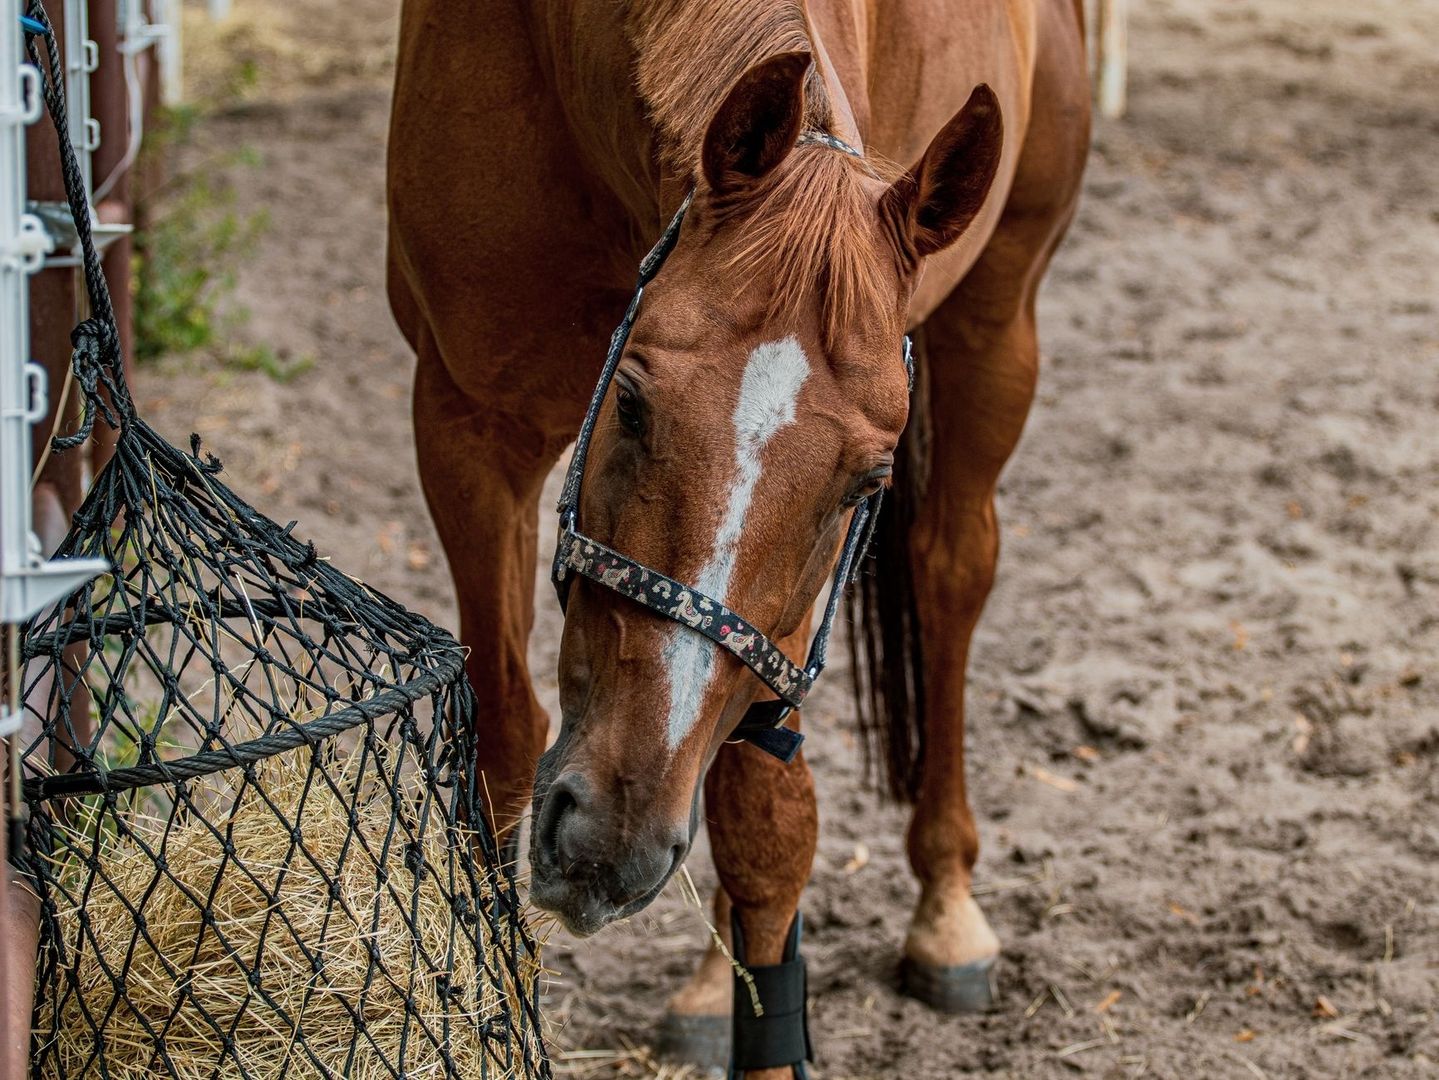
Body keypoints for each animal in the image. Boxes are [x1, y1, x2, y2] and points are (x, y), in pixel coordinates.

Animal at [387, 0, 1089, 1073]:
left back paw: (945, 909)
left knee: (951, 576)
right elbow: (502, 739)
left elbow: (766, 826)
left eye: (865, 483)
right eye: (630, 402)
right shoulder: (468, 428)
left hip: (999, 316)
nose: (610, 838)